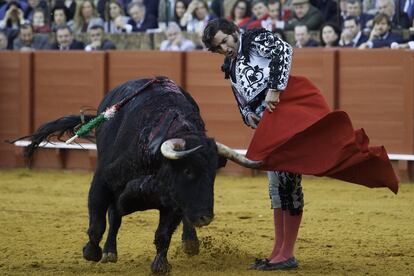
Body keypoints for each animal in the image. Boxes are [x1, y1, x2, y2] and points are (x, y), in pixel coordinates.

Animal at [18, 77, 262, 274]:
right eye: (188, 170)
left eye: (213, 175)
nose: (205, 217)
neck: (154, 153)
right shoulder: (102, 182)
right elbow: (98, 222)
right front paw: (91, 252)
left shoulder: (173, 201)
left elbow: (163, 233)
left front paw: (160, 265)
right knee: (113, 216)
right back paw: (109, 252)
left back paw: (190, 242)